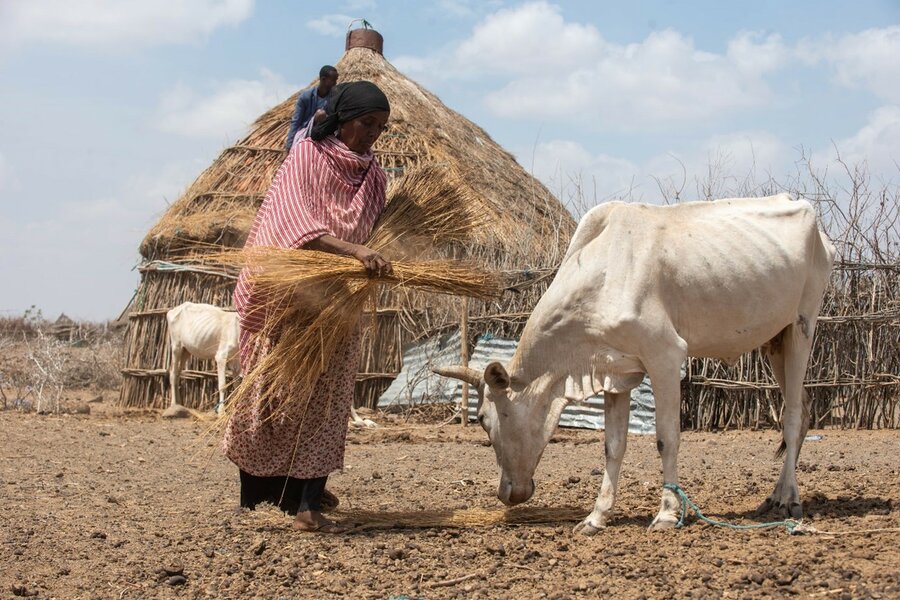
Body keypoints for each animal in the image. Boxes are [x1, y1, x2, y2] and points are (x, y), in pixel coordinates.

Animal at [436, 196, 836, 536]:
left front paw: (667, 513)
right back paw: (775, 496)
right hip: (775, 341)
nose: (506, 493)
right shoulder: (617, 374)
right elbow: (613, 446)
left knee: (793, 417)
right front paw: (596, 517)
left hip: (802, 326)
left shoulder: (665, 355)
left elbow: (666, 437)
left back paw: (790, 499)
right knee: (801, 413)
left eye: (483, 419)